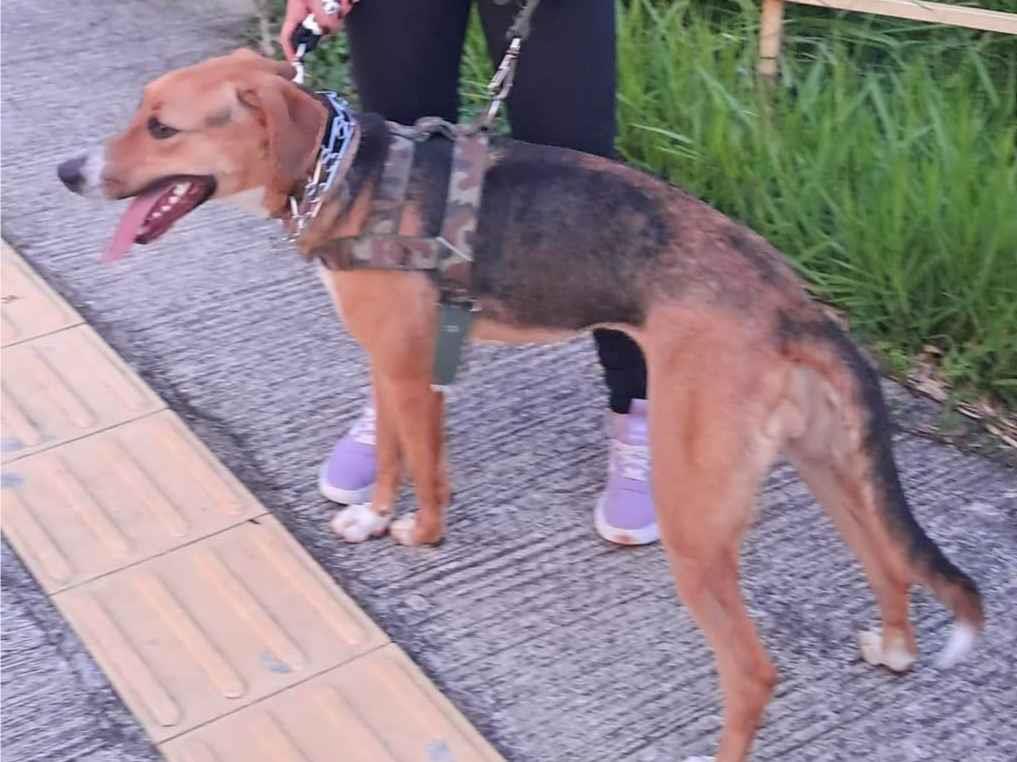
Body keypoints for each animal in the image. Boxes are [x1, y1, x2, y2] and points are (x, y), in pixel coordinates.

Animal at [58, 49, 984, 761]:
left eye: (163, 128)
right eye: (140, 112)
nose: (68, 172)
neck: (346, 169)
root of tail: (794, 307)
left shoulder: (405, 369)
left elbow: (422, 472)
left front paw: (414, 534)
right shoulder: (394, 365)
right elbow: (394, 453)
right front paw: (372, 516)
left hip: (697, 513)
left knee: (754, 672)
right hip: (826, 463)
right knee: (887, 560)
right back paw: (893, 646)